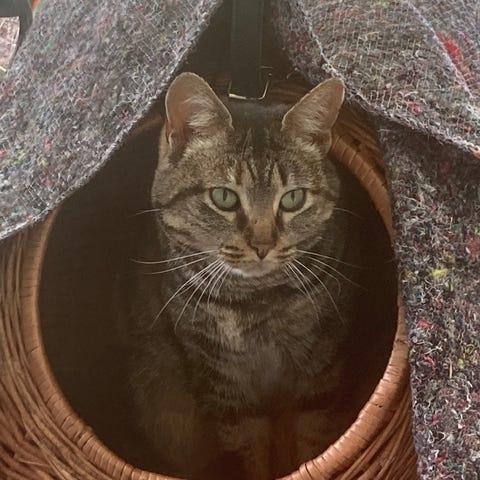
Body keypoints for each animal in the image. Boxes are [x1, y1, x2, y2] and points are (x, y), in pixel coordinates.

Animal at [121, 72, 375, 480]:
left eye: (293, 198)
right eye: (224, 197)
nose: (262, 244)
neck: (255, 299)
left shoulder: (320, 370)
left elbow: (312, 442)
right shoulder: (222, 384)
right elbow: (248, 450)